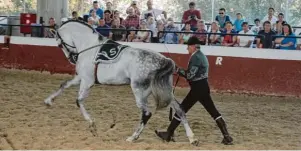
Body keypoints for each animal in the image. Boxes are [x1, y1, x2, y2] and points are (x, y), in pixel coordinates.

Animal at [43, 20, 197, 145]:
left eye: (59, 44)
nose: (71, 59)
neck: (90, 46)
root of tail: (164, 60)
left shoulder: (87, 81)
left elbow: (79, 101)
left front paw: (92, 125)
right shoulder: (80, 77)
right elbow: (64, 85)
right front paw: (48, 101)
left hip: (139, 91)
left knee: (146, 113)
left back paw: (133, 137)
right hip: (165, 92)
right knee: (179, 109)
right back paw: (192, 138)